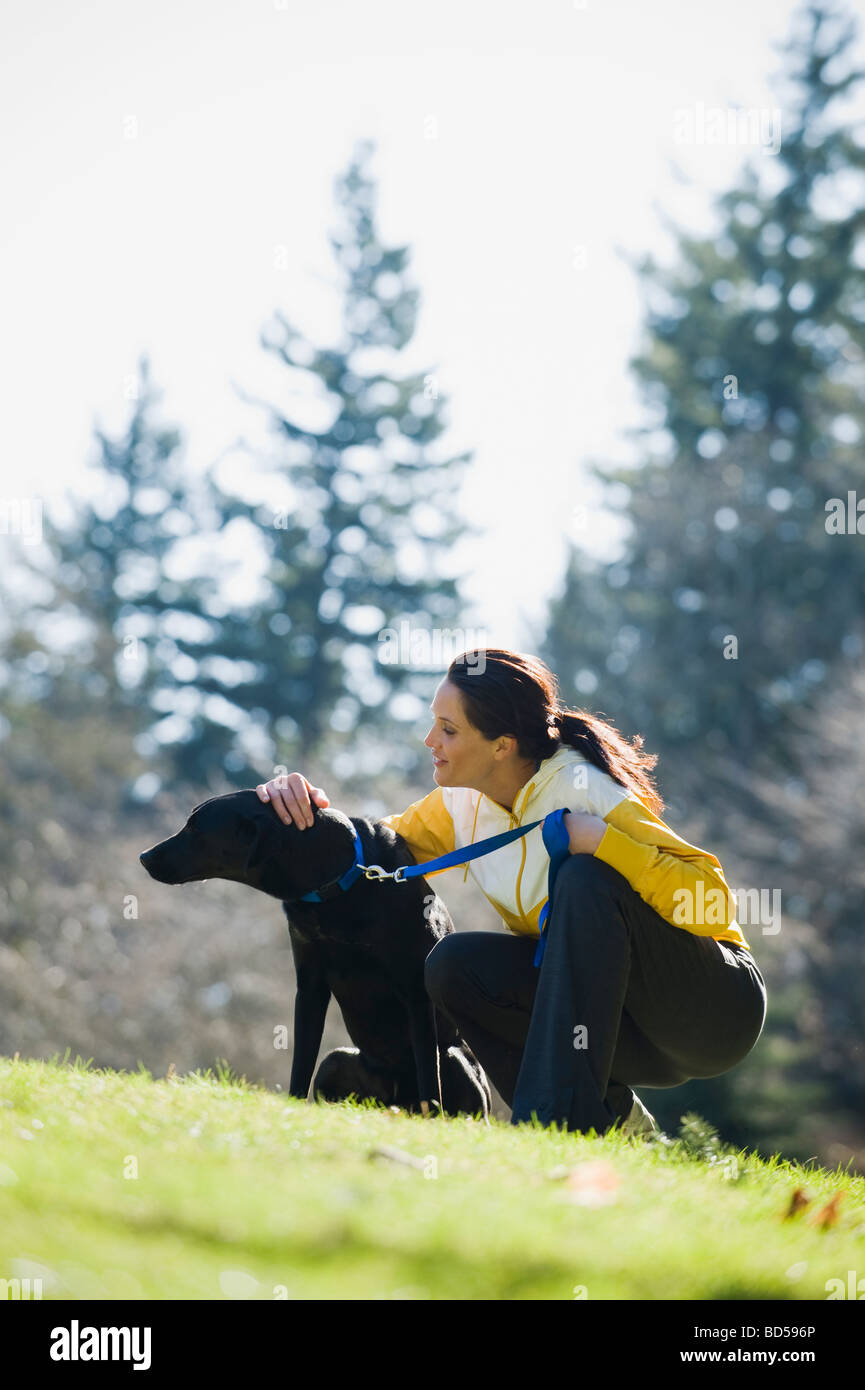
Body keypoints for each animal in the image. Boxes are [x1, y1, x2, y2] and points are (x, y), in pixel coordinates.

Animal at [139, 795, 492, 1117]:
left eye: (195, 828)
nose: (143, 856)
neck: (336, 882)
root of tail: (396, 1104)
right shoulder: (310, 987)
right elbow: (301, 1059)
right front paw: (293, 1106)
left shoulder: (415, 992)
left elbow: (428, 1073)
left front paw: (431, 1119)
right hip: (336, 1061)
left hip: (454, 1058)